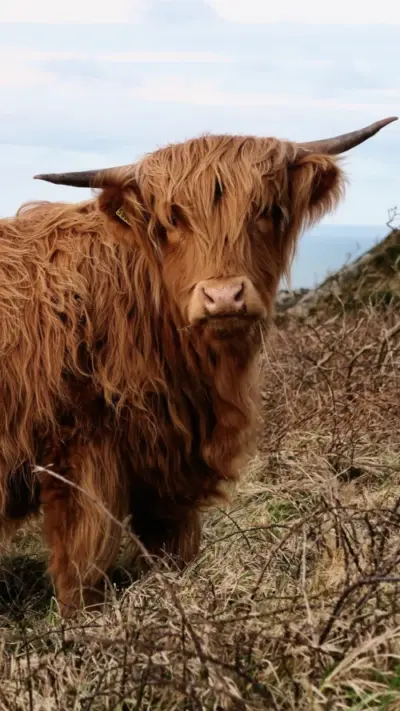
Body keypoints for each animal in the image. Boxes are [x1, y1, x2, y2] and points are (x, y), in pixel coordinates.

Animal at [0, 117, 396, 616]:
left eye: (267, 210)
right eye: (172, 219)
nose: (224, 296)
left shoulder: (169, 469)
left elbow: (172, 551)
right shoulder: (78, 456)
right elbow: (82, 567)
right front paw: (81, 624)